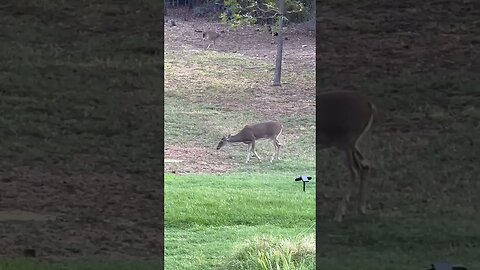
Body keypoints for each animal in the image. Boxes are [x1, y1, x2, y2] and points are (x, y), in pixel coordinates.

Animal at [316, 90, 376, 221]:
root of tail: (369, 105)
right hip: (353, 142)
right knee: (366, 165)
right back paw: (362, 209)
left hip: (347, 140)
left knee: (355, 171)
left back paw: (339, 214)